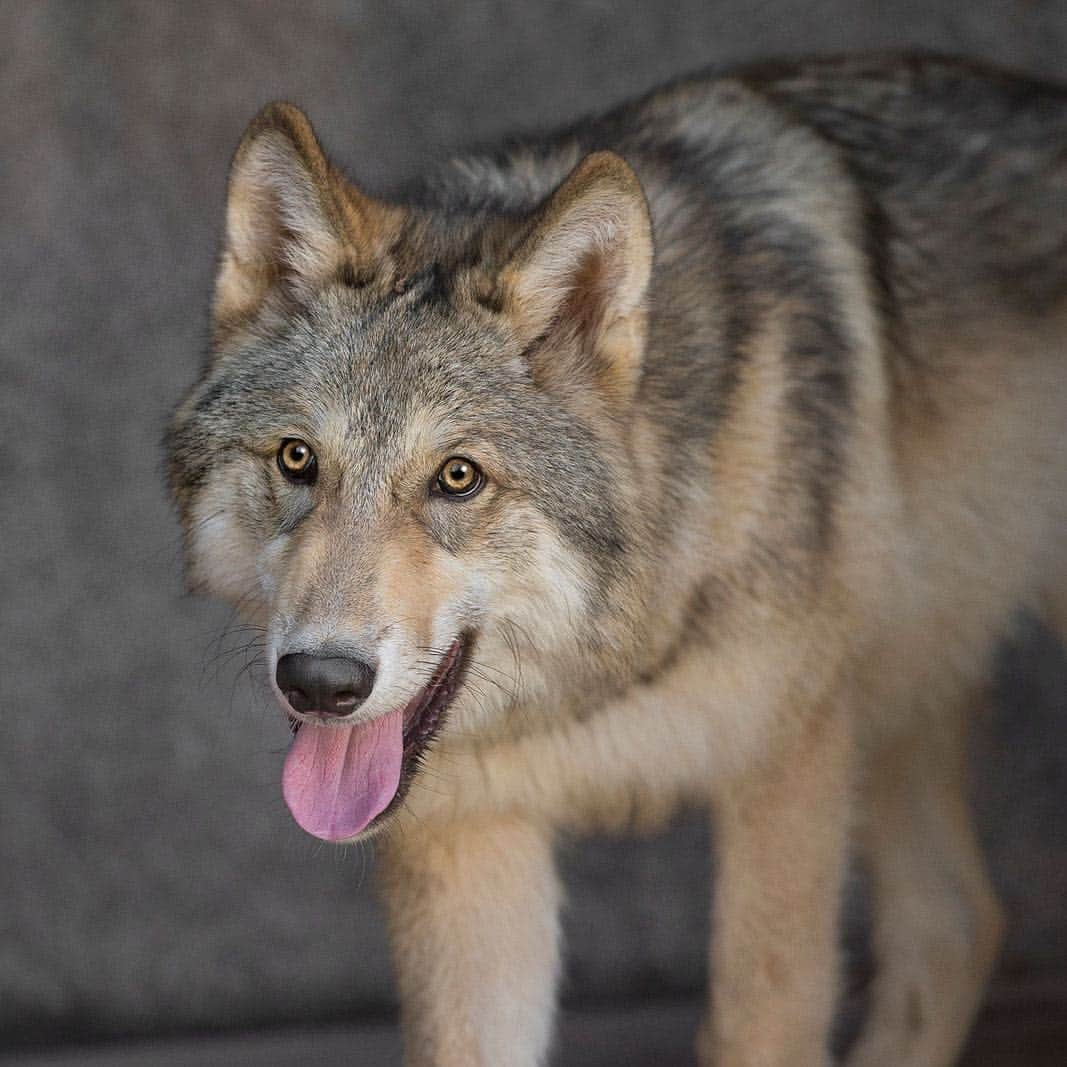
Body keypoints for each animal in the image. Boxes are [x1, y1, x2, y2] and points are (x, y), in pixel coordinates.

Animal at [166, 56, 1067, 1067]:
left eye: (457, 477)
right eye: (297, 460)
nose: (320, 681)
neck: (590, 675)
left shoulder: (788, 774)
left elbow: (761, 1020)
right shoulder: (467, 836)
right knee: (956, 924)